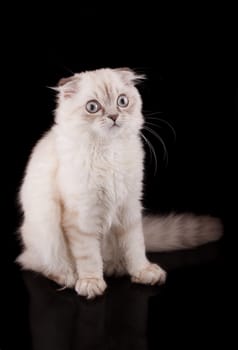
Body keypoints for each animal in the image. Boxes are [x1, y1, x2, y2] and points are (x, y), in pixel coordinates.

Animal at [16, 67, 221, 298]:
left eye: (122, 101)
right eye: (93, 107)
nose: (114, 116)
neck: (109, 152)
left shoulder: (129, 207)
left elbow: (135, 246)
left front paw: (143, 272)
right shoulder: (81, 216)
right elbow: (89, 256)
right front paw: (91, 282)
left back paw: (116, 268)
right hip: (45, 233)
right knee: (37, 263)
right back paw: (69, 277)